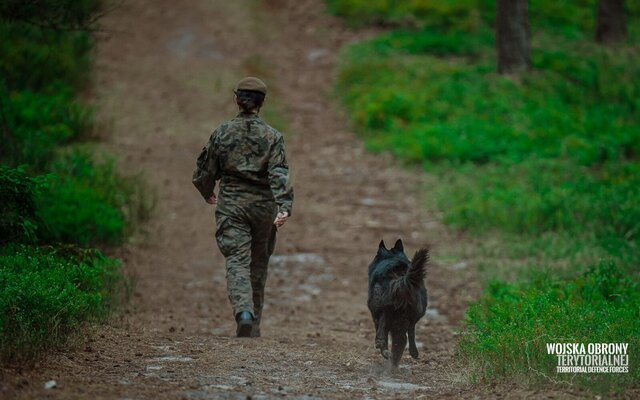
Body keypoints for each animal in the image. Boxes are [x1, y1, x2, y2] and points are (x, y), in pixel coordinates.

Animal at [368, 239, 428, 368]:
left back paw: (384, 351)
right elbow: (411, 331)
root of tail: (399, 275)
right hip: (414, 312)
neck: (392, 257)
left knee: (384, 331)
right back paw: (396, 363)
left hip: (381, 308)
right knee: (403, 338)